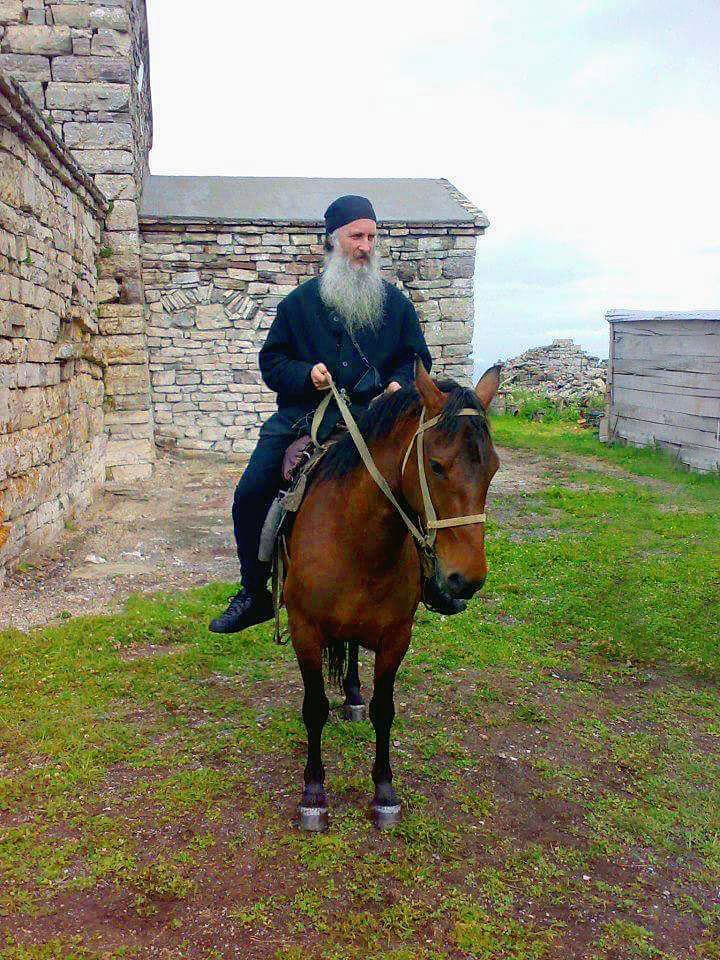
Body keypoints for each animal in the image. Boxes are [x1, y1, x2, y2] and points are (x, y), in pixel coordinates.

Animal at [283, 360, 501, 829]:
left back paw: (352, 696)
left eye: (493, 467)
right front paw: (314, 794)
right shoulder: (303, 629)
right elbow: (314, 707)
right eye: (436, 465)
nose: (467, 580)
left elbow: (384, 709)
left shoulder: (397, 635)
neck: (355, 539)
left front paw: (384, 792)